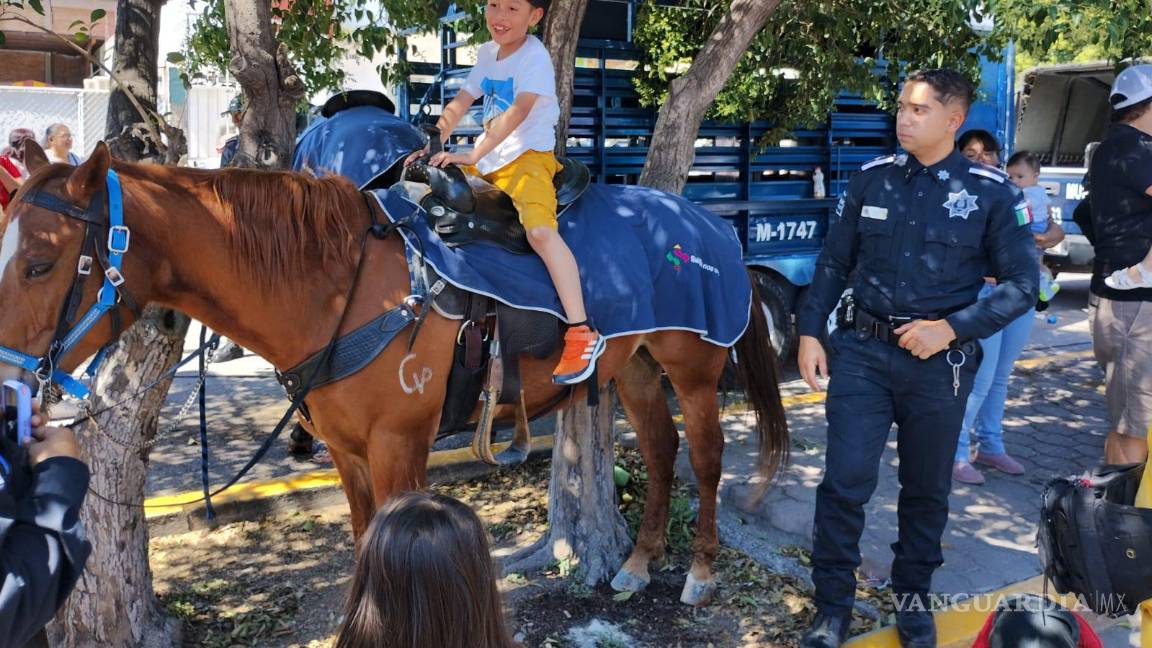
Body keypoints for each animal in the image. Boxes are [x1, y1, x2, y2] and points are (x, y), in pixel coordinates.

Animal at [0, 140, 789, 605]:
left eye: (39, 262)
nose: (10, 388)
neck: (339, 286)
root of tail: (711, 225)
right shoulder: (349, 454)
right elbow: (361, 544)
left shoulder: (399, 448)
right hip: (637, 368)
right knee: (659, 452)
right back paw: (638, 564)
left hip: (692, 368)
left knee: (706, 458)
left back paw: (700, 572)